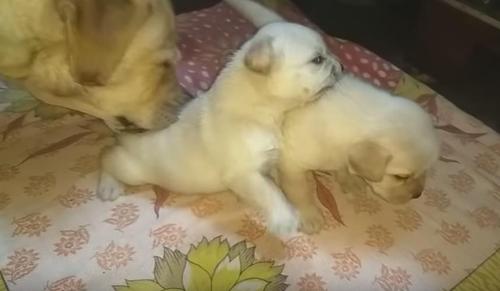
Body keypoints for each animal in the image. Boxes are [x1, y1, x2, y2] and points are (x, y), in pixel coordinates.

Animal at [95, 21, 342, 235]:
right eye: (318, 60)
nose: (339, 65)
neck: (260, 109)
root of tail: (125, 133)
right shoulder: (244, 173)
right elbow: (271, 193)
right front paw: (284, 219)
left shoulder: (271, 162)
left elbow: (291, 187)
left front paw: (306, 212)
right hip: (132, 171)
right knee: (106, 156)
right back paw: (108, 186)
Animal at [282, 76, 442, 235]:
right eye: (400, 177)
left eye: (426, 170)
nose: (418, 194)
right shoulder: (291, 162)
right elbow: (299, 191)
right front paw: (308, 216)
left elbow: (342, 167)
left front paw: (350, 180)